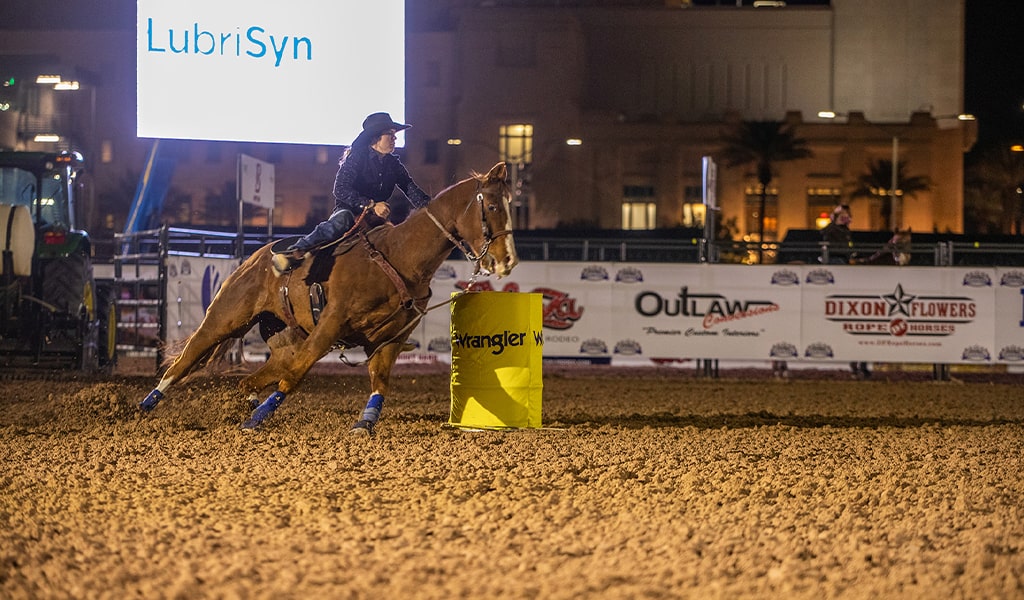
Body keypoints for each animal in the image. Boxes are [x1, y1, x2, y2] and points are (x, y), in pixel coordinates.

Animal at [138, 162, 517, 434]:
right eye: (492, 205)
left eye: (510, 204)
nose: (507, 260)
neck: (399, 258)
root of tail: (254, 258)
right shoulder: (330, 325)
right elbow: (296, 376)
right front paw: (256, 420)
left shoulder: (390, 340)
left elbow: (380, 382)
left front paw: (364, 424)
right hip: (224, 318)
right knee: (185, 359)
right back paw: (147, 405)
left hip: (286, 338)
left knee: (253, 376)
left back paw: (248, 400)